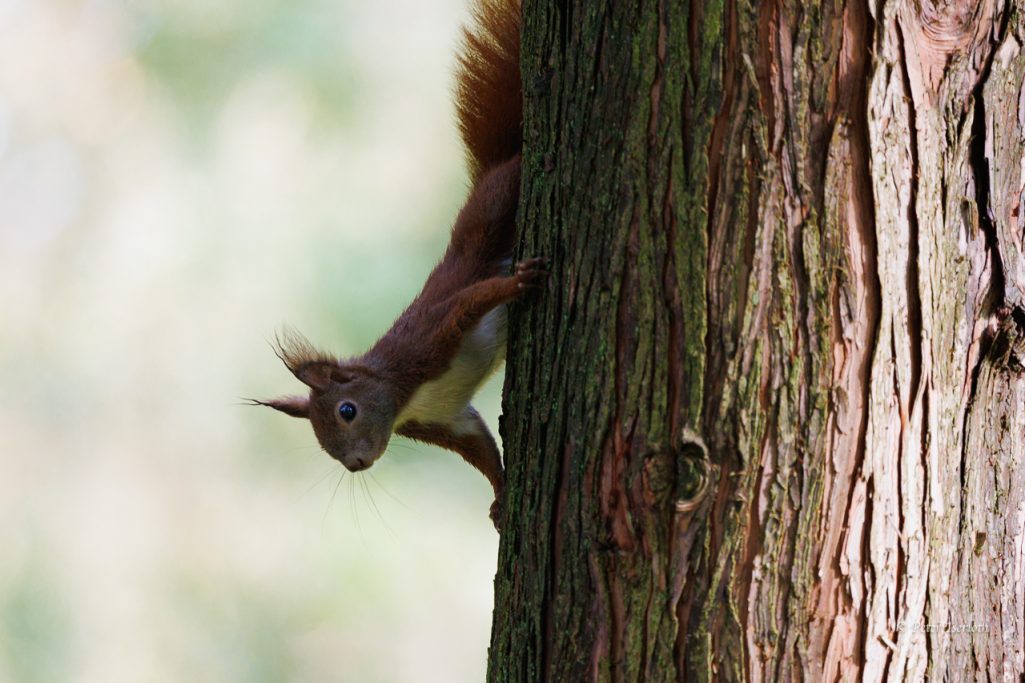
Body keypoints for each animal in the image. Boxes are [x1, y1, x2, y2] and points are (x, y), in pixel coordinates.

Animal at [252, 0, 537, 525]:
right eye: (321, 442)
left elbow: (471, 300)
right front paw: (500, 495)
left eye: (347, 411)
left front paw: (516, 284)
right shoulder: (446, 419)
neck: (405, 395)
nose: (356, 464)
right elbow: (481, 448)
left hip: (495, 206)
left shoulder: (430, 341)